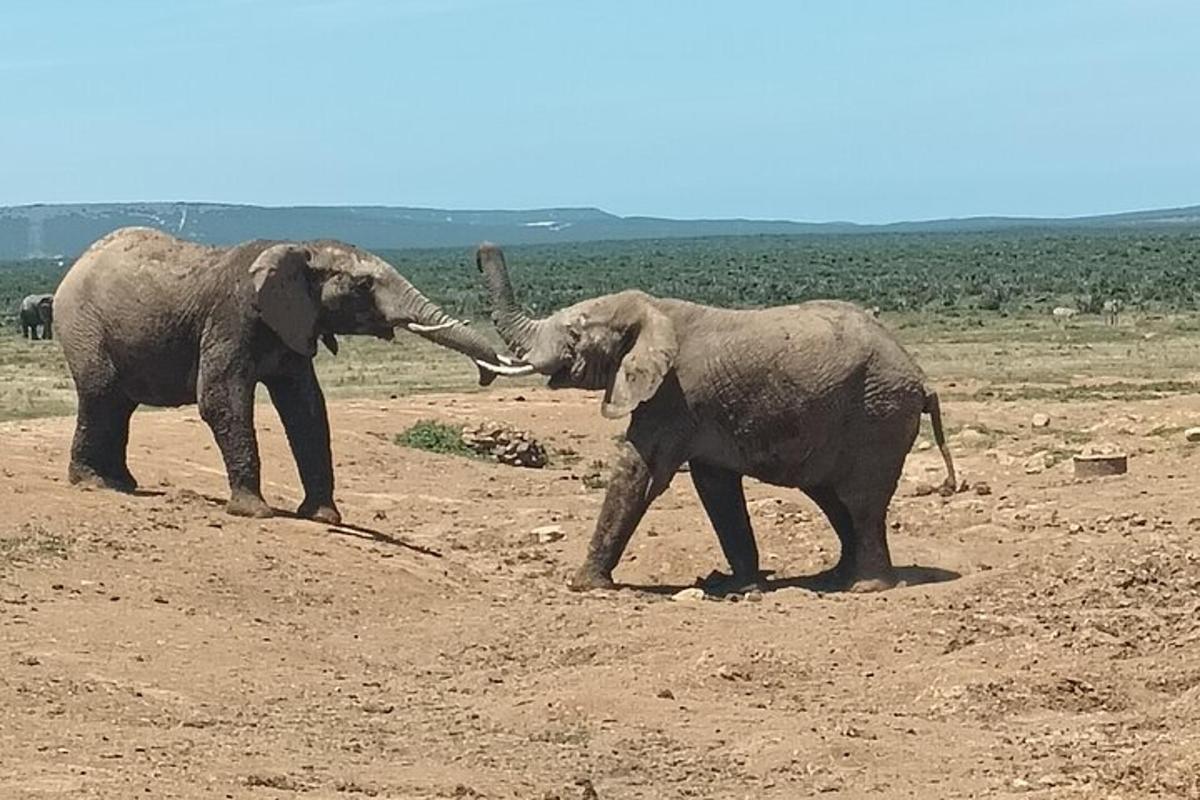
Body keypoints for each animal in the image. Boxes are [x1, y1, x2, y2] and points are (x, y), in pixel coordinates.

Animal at [55, 226, 525, 525]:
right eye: (363, 285)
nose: (484, 376)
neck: (298, 249)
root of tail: (75, 266)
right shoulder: (233, 318)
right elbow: (220, 400)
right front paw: (255, 512)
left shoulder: (295, 326)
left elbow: (307, 407)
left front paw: (323, 517)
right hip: (82, 325)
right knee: (101, 395)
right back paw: (94, 483)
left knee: (119, 405)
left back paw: (122, 483)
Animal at [475, 242, 955, 594]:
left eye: (575, 333)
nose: (483, 250)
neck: (653, 309)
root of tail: (921, 378)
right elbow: (715, 487)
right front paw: (742, 586)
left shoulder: (673, 396)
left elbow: (639, 471)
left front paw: (586, 586)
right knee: (831, 497)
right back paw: (835, 577)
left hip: (878, 415)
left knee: (860, 501)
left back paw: (867, 587)